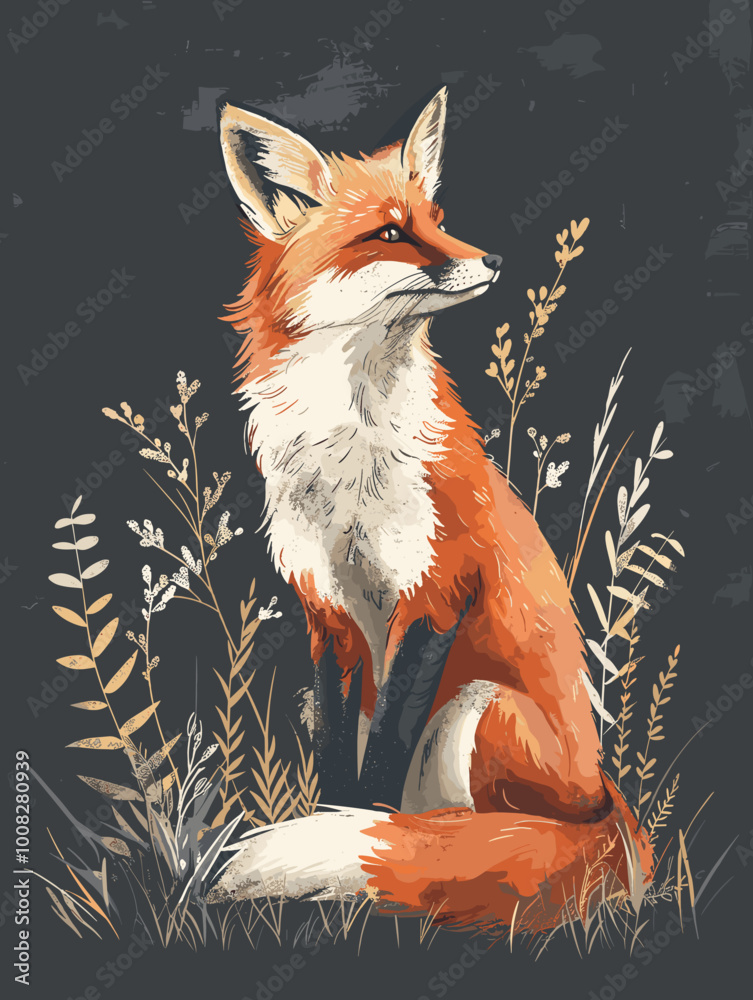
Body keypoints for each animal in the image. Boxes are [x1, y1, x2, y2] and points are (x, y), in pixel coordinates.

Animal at [210, 88, 654, 934]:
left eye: (436, 217)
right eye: (389, 232)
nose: (494, 260)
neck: (349, 459)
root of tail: (602, 802)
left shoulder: (435, 589)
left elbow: (381, 765)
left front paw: (358, 848)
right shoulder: (328, 612)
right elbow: (339, 756)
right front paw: (337, 830)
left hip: (474, 710)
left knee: (489, 831)